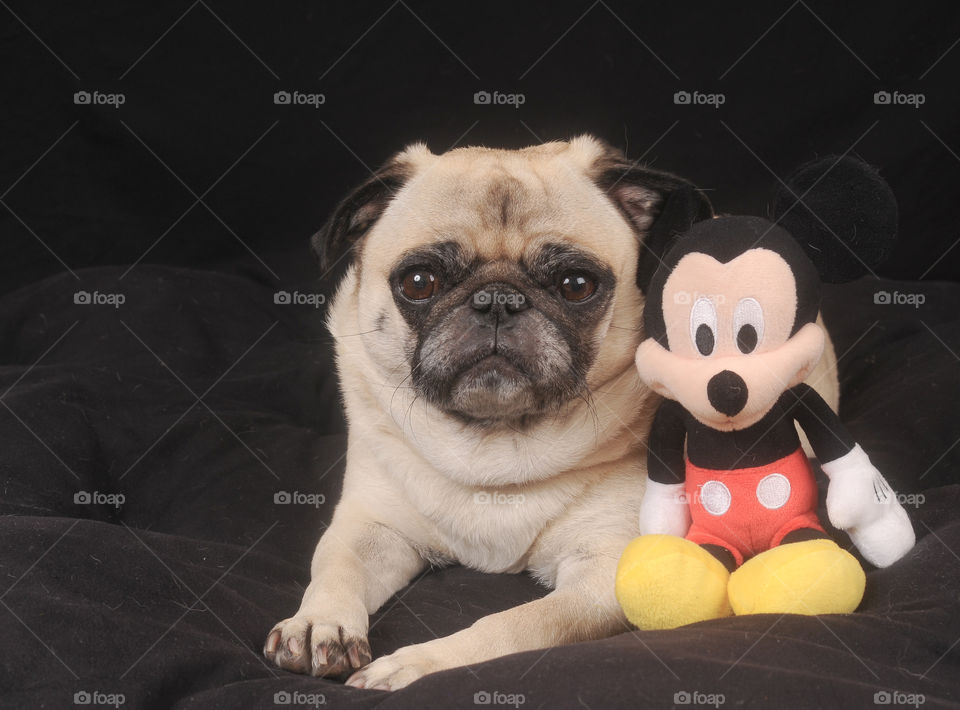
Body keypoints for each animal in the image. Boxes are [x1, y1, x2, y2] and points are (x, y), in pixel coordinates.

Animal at [262, 136, 840, 692]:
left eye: (576, 285)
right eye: (419, 282)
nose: (497, 299)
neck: (492, 445)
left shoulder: (606, 573)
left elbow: (514, 623)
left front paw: (420, 664)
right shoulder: (372, 525)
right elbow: (336, 566)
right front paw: (318, 623)